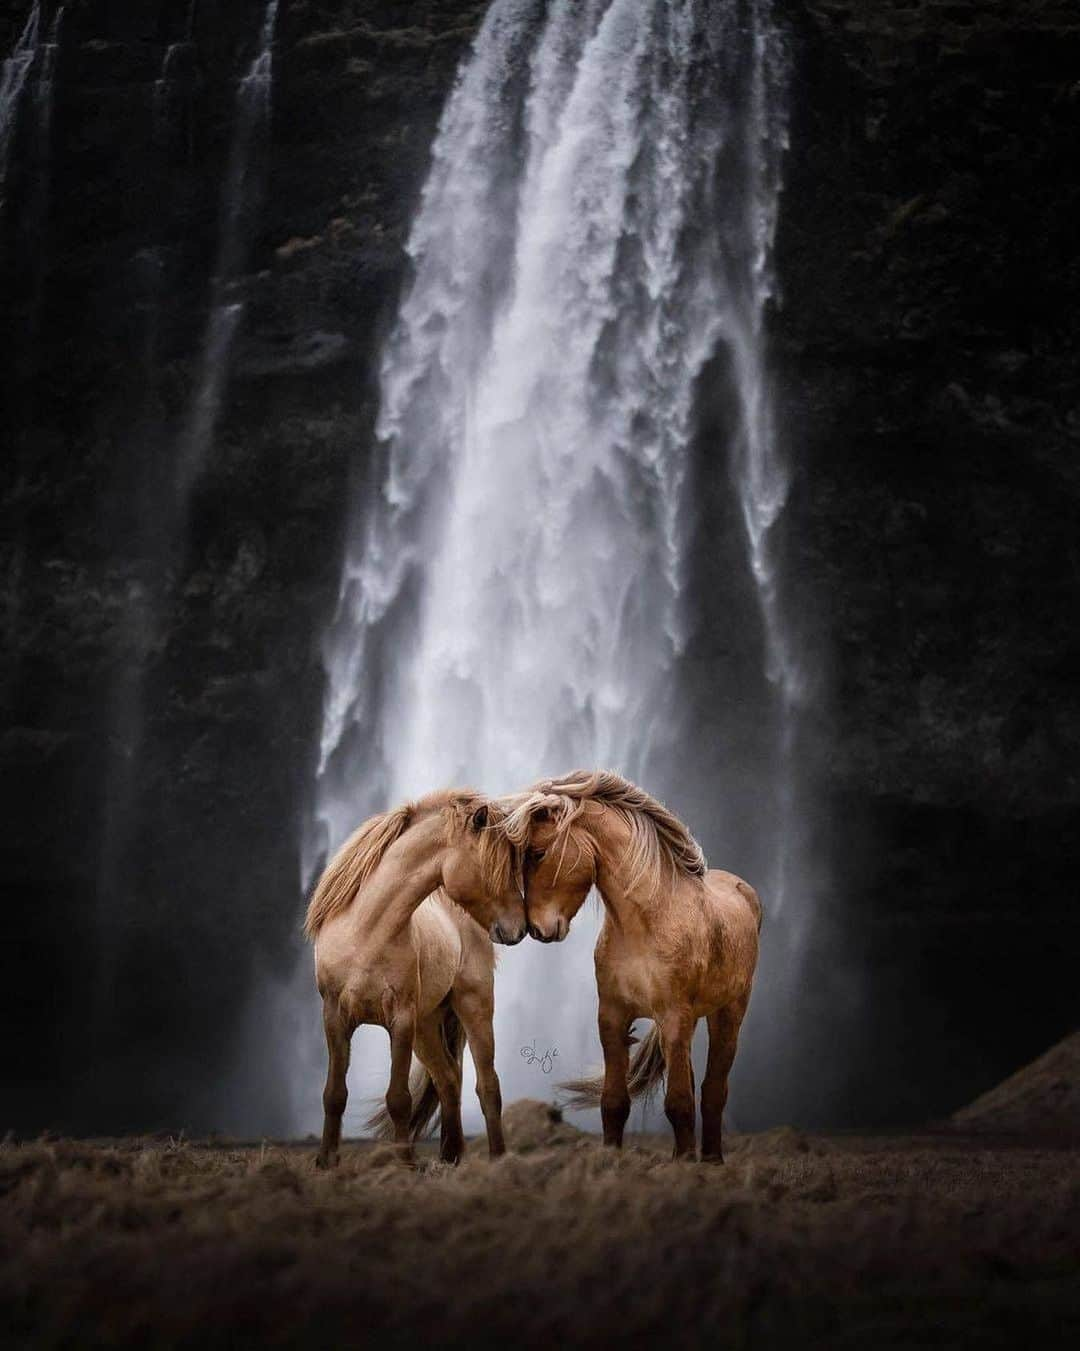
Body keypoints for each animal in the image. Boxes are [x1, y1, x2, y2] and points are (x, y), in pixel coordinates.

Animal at [304, 788, 527, 1167]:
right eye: (493, 866)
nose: (518, 929)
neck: (366, 932)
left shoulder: (401, 1020)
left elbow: (399, 1098)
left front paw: (405, 1163)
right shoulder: (334, 1017)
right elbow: (334, 1093)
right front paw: (325, 1161)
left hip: (473, 1007)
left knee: (487, 1087)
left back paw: (496, 1158)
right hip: (427, 1026)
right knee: (448, 1079)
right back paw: (450, 1156)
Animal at [505, 772, 762, 1161]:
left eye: (538, 853)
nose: (536, 929)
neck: (647, 923)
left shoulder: (673, 1017)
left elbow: (679, 1103)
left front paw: (684, 1164)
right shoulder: (613, 1017)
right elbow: (614, 1102)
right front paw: (612, 1158)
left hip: (728, 1013)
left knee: (714, 1090)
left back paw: (711, 1161)